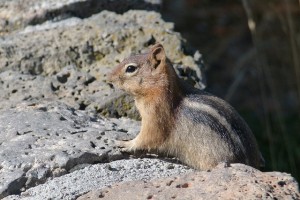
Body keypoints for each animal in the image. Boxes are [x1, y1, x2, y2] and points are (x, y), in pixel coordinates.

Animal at [109, 43, 264, 170]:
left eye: (130, 68)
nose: (109, 77)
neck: (159, 89)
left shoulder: (155, 118)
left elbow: (146, 138)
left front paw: (125, 143)